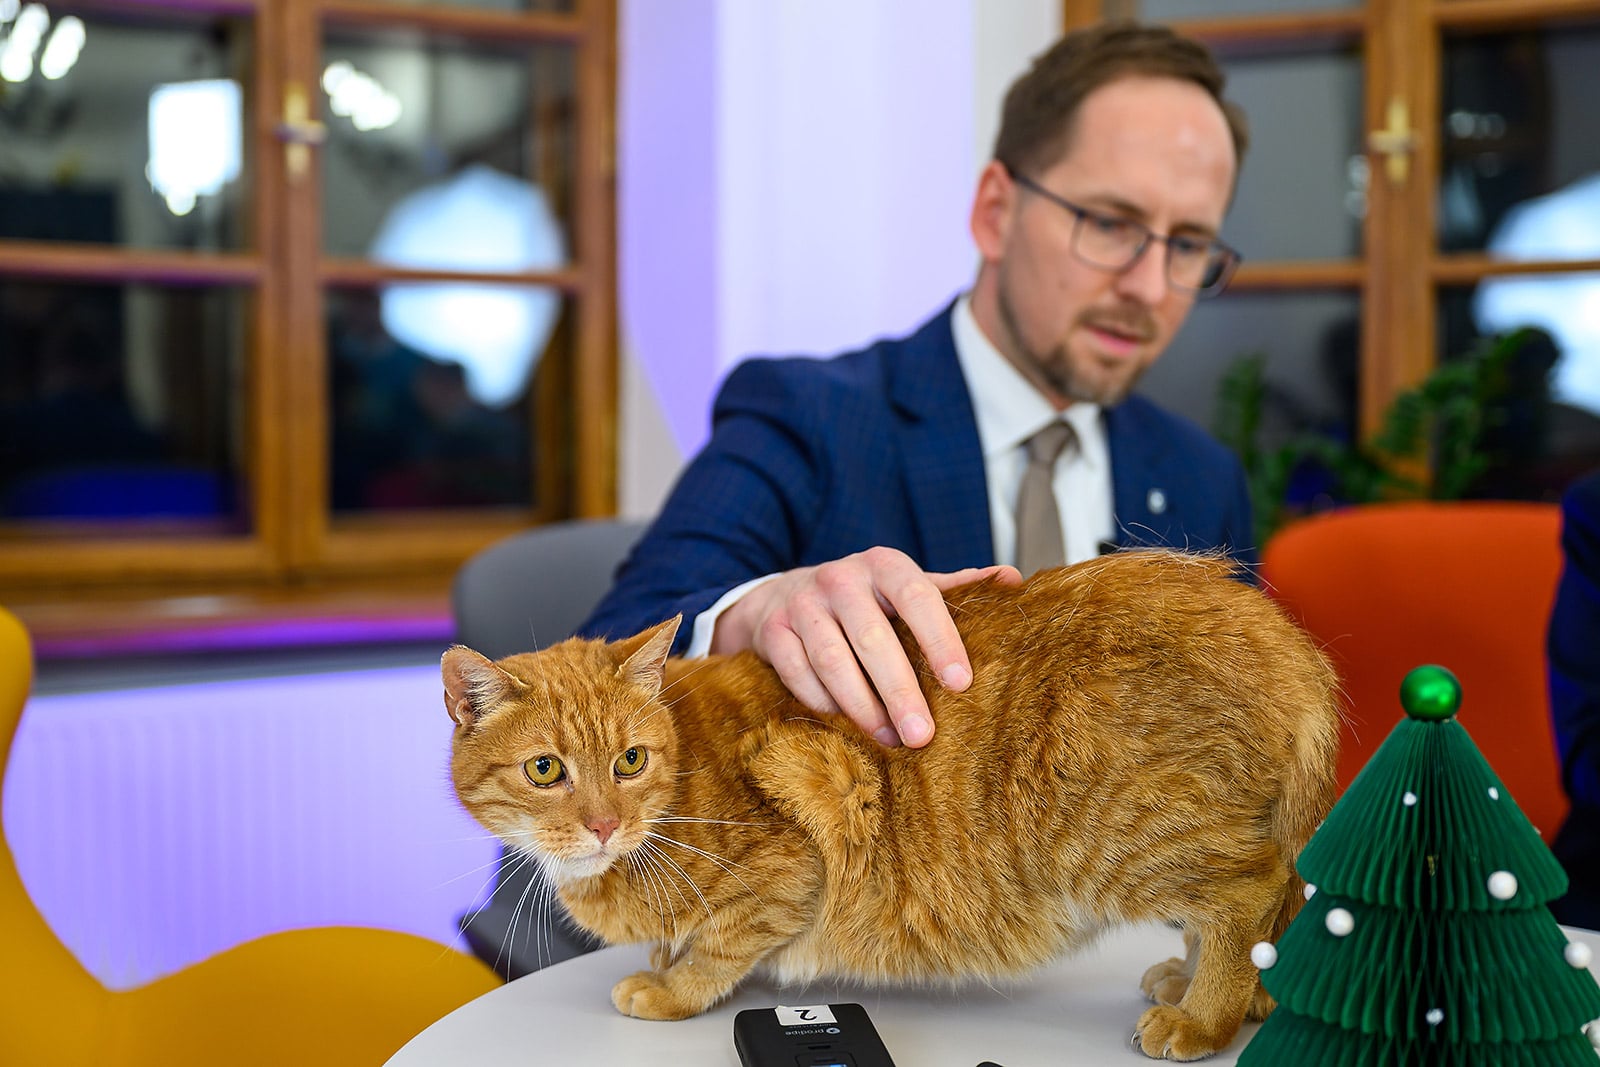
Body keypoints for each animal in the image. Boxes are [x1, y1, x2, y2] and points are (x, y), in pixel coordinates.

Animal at [443, 549, 1340, 1061]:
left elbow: (719, 948)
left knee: (1250, 894)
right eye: (546, 769)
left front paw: (669, 986)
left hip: (1125, 835)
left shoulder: (805, 829)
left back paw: (1203, 1015)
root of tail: (1276, 637)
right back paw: (1198, 984)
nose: (603, 824)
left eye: (629, 760)